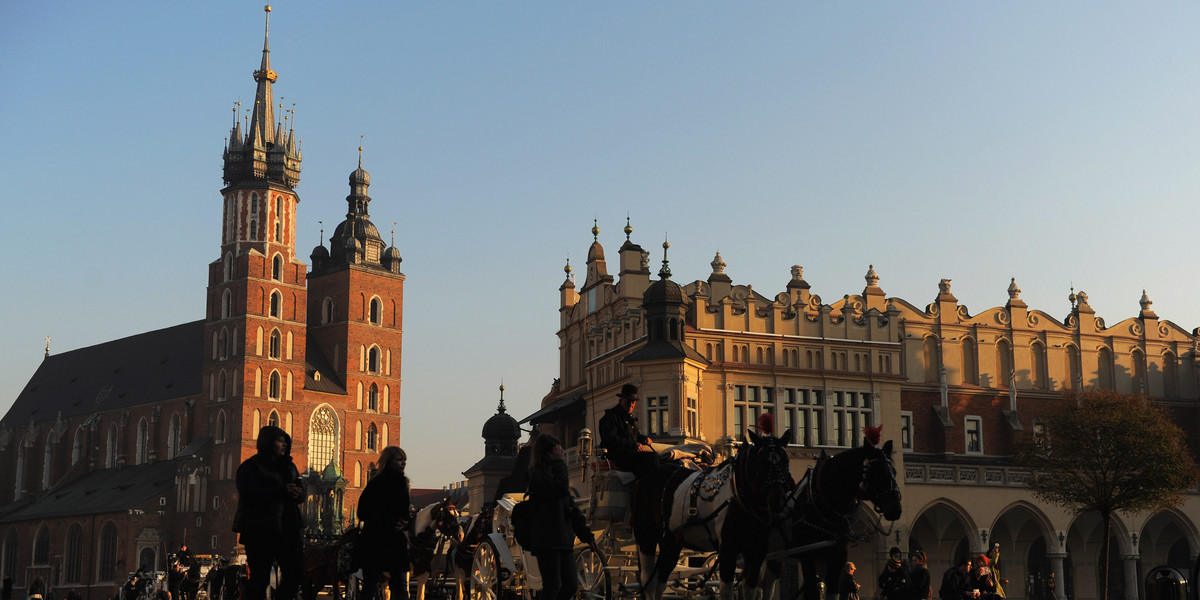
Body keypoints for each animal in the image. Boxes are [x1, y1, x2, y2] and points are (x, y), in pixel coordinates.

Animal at [628, 427, 796, 600]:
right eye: (761, 462)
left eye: (785, 461)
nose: (777, 502)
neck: (738, 494)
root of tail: (649, 474)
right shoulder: (728, 548)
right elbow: (727, 590)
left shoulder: (757, 552)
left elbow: (750, 590)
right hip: (645, 536)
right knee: (648, 580)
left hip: (670, 542)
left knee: (660, 580)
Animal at [768, 424, 902, 600]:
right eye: (876, 471)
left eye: (894, 471)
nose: (896, 509)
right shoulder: (808, 557)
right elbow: (812, 591)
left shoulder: (837, 556)